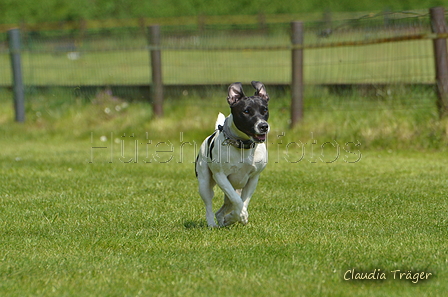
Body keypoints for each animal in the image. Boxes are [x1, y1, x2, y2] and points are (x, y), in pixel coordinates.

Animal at [195, 81, 270, 227]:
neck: (242, 145)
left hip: (237, 187)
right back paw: (212, 224)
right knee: (209, 204)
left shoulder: (253, 179)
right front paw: (240, 215)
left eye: (264, 110)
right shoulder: (221, 176)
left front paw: (235, 217)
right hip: (204, 183)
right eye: (246, 111)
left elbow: (244, 201)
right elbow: (237, 200)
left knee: (223, 209)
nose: (263, 126)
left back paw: (224, 220)